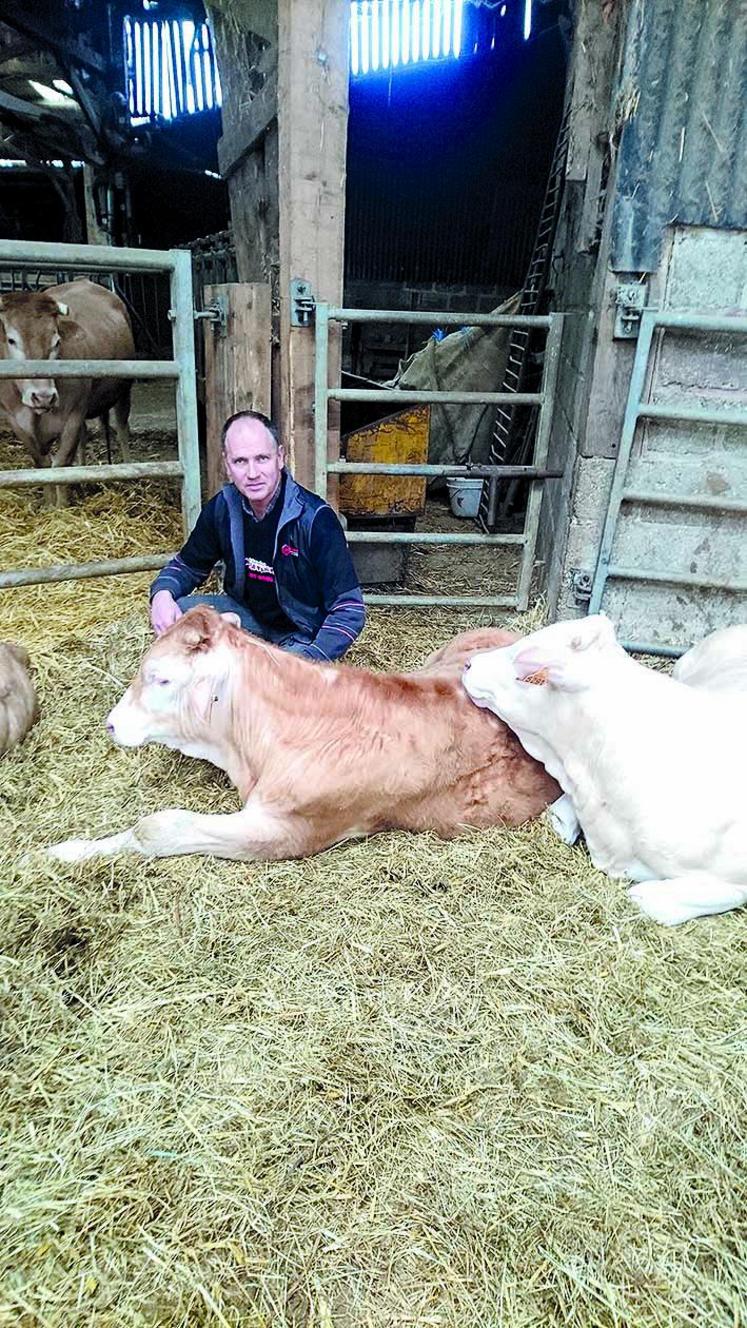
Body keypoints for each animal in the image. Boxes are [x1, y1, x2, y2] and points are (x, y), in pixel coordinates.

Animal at [0, 280, 133, 483]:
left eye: (57, 342)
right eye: (11, 340)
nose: (44, 397)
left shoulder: (73, 415)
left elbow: (60, 467)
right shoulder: (17, 423)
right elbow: (42, 467)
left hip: (123, 390)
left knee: (122, 428)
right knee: (85, 435)